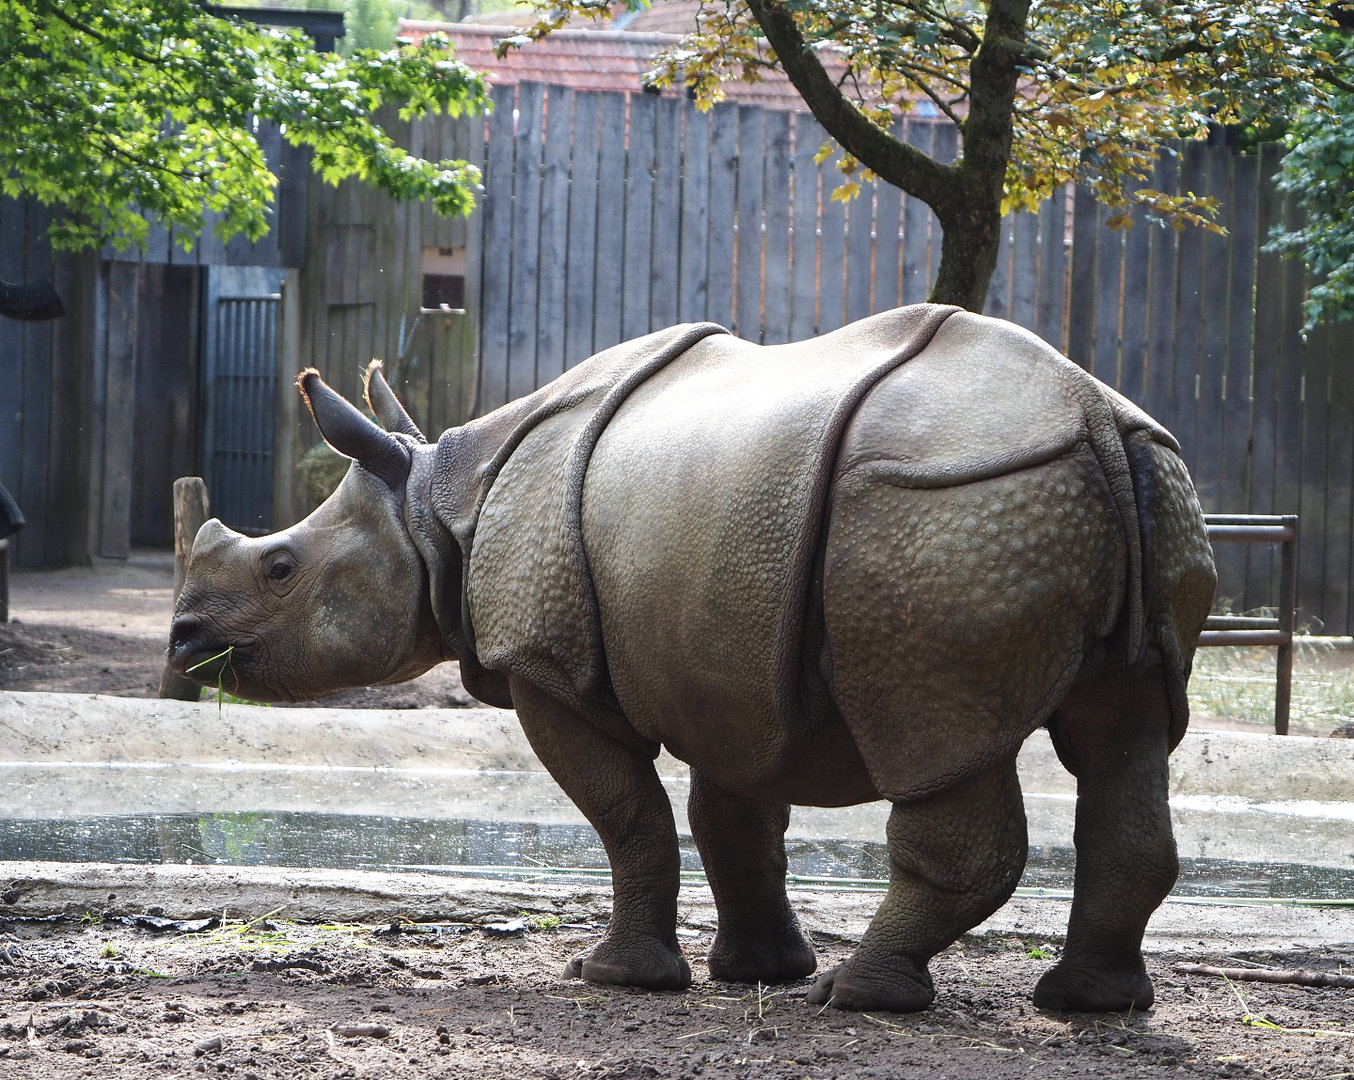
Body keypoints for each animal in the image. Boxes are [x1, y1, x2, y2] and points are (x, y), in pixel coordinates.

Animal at [168, 304, 1216, 1014]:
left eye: (279, 566)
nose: (183, 641)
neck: (436, 508)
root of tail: (1091, 414)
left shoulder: (547, 664)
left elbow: (630, 815)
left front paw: (614, 978)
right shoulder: (727, 656)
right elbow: (733, 819)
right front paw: (755, 971)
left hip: (942, 513)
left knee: (936, 738)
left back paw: (859, 997)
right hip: (1143, 485)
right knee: (1127, 734)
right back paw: (1089, 1002)